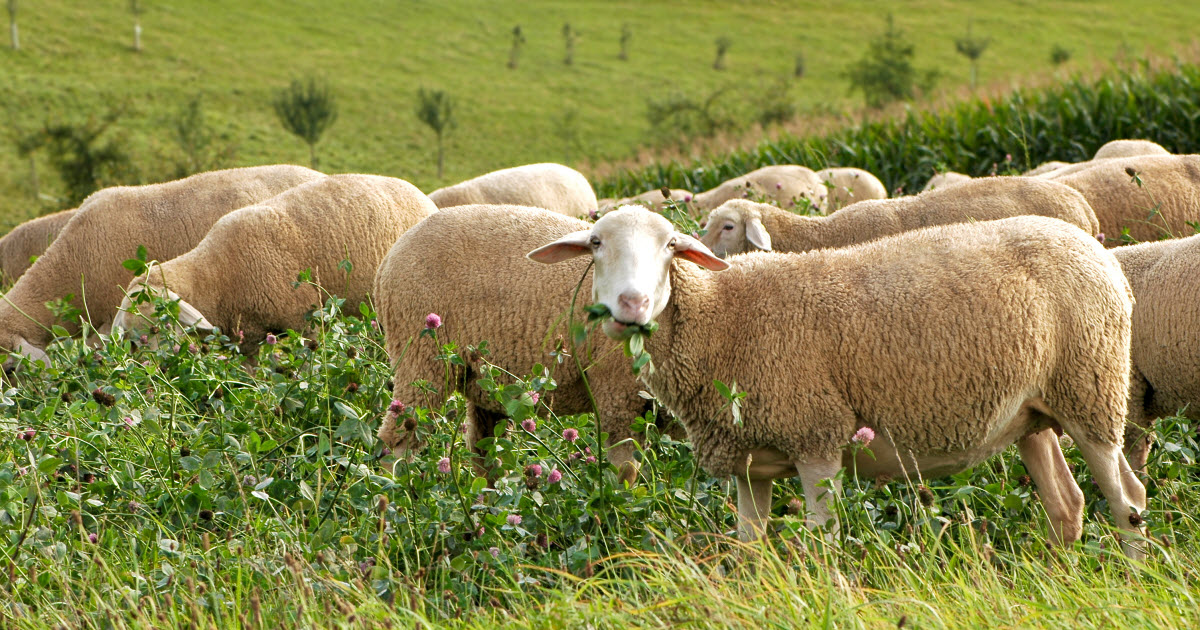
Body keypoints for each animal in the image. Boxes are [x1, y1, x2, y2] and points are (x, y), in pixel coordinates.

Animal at [112, 174, 435, 350]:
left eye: (157, 328)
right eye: (131, 338)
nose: (155, 368)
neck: (214, 274)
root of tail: (420, 194)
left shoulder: (304, 322)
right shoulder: (249, 340)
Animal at [374, 204, 675, 485]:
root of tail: (389, 257)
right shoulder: (621, 397)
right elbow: (623, 474)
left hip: (486, 382)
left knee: (485, 452)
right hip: (421, 357)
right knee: (397, 441)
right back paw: (394, 492)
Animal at [528, 206, 1147, 557]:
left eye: (670, 246)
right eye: (596, 245)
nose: (631, 305)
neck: (722, 314)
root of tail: (1099, 253)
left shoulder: (816, 437)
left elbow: (822, 545)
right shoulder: (750, 463)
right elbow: (751, 551)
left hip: (1092, 387)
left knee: (1128, 499)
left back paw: (1129, 574)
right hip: (1033, 413)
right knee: (1067, 504)